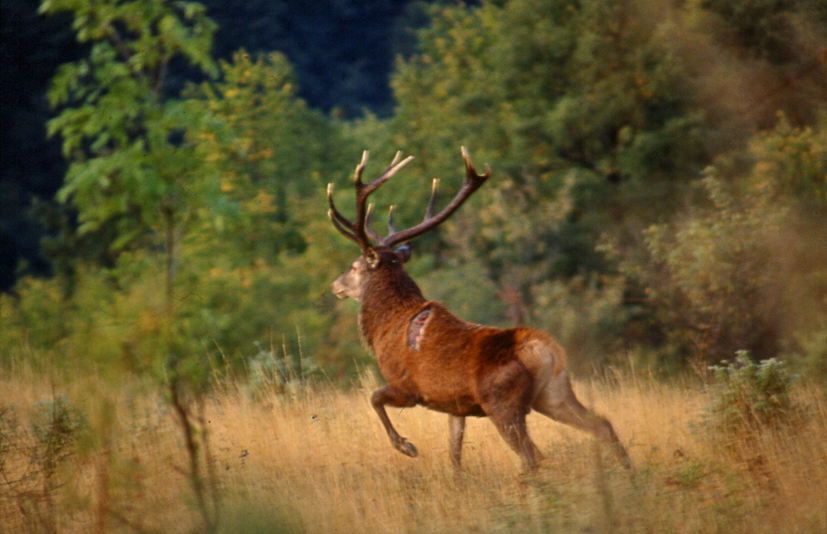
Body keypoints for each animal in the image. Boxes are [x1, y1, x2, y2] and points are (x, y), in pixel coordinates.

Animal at [326, 149, 632, 472]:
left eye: (354, 266)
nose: (335, 285)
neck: (385, 329)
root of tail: (545, 351)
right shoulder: (454, 405)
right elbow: (454, 453)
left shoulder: (406, 386)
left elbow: (374, 398)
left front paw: (406, 446)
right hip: (555, 393)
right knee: (602, 425)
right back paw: (629, 475)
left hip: (503, 402)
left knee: (532, 455)